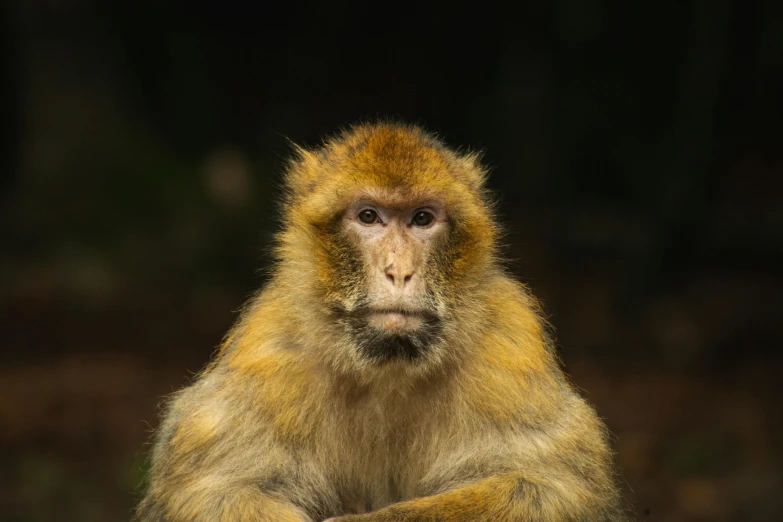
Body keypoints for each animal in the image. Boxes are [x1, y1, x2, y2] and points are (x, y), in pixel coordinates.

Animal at [135, 123, 628, 520]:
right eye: (369, 216)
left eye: (422, 218)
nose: (398, 271)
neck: (388, 368)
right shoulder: (269, 350)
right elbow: (208, 488)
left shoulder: (508, 343)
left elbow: (556, 486)